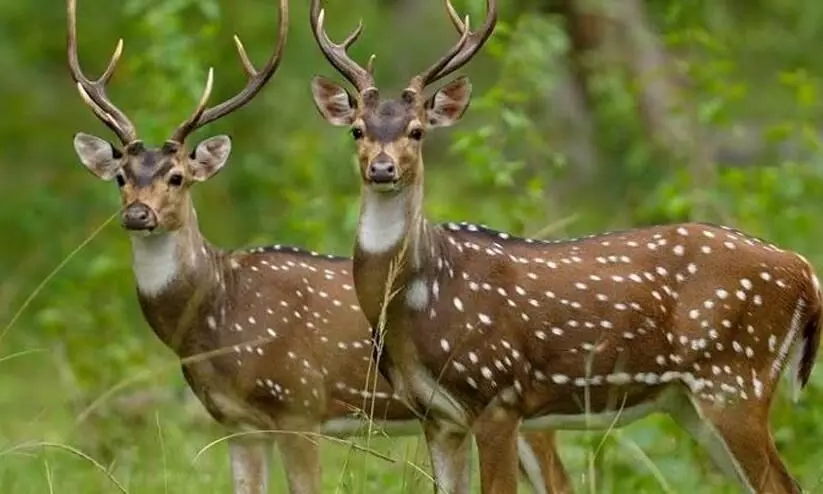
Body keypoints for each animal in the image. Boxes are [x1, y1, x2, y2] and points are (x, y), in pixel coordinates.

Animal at [66, 0, 572, 493]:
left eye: (177, 177)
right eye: (120, 177)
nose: (137, 215)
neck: (218, 311)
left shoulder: (298, 402)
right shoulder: (235, 422)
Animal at [309, 0, 823, 492]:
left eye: (417, 130)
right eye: (357, 128)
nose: (382, 169)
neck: (418, 299)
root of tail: (805, 272)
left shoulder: (499, 395)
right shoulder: (436, 417)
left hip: (734, 377)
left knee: (782, 484)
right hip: (690, 401)